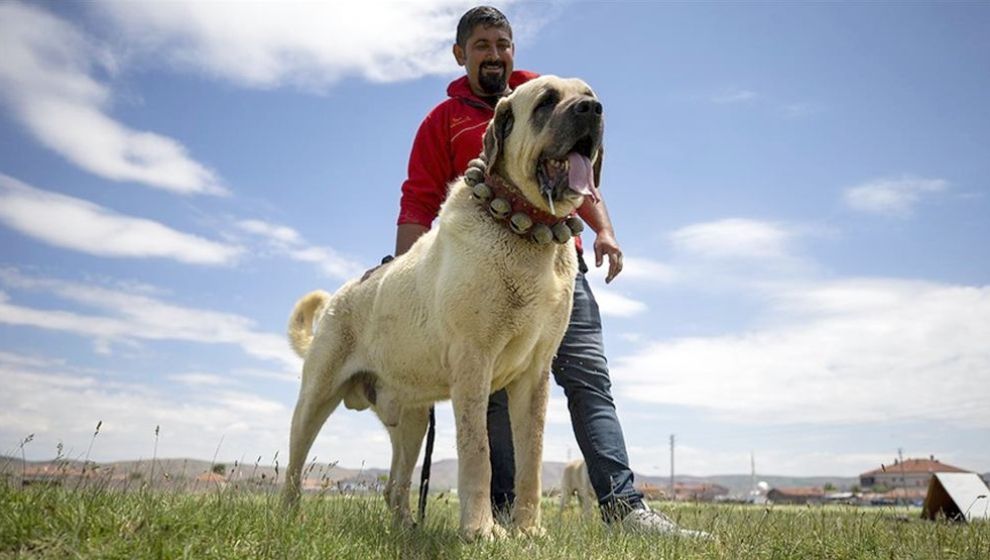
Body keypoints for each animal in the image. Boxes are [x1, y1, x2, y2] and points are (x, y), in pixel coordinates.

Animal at [280, 74, 604, 540]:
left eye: (589, 96)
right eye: (546, 101)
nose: (592, 110)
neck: (527, 228)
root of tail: (337, 301)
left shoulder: (535, 375)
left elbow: (531, 456)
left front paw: (528, 530)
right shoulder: (473, 363)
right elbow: (479, 451)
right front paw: (481, 530)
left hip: (413, 420)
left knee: (395, 485)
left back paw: (406, 529)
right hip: (315, 398)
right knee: (293, 466)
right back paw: (289, 518)